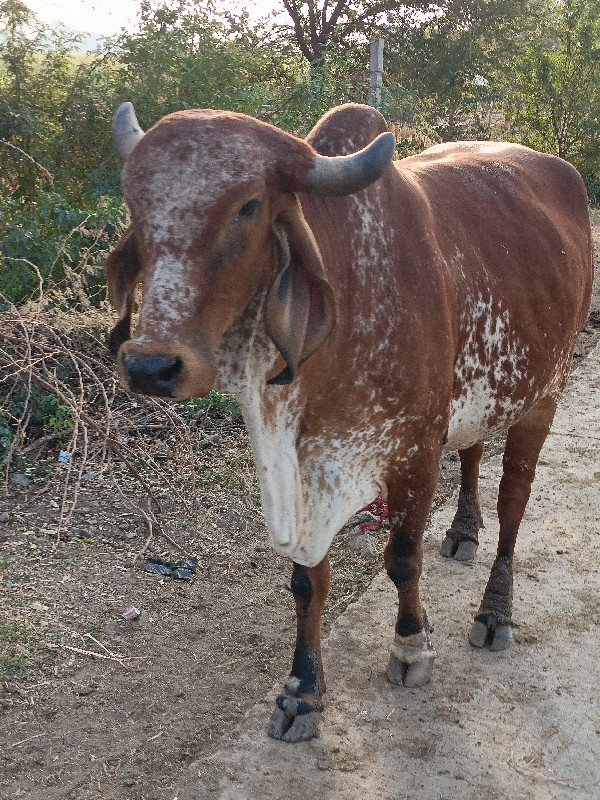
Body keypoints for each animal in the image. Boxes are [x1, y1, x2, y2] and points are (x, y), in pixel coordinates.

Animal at [105, 101, 592, 744]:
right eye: (136, 204)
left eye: (249, 206)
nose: (150, 366)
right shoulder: (301, 471)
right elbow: (307, 582)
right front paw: (302, 692)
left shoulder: (414, 452)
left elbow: (402, 558)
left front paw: (412, 646)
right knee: (472, 454)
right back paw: (464, 532)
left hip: (544, 394)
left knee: (514, 503)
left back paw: (495, 612)